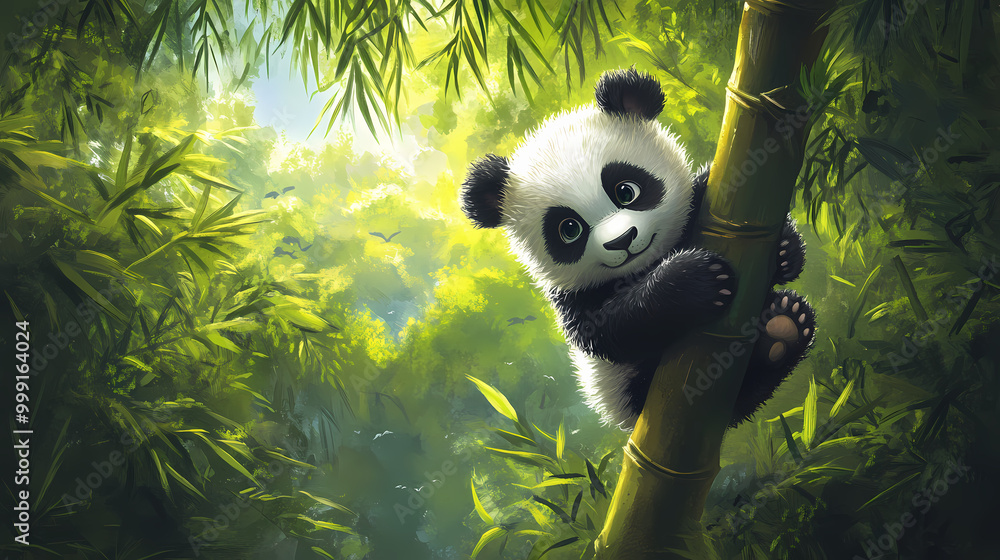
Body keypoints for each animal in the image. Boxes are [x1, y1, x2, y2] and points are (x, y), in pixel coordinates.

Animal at [460, 68, 815, 431]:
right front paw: (696, 280)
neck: (645, 265)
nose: (622, 240)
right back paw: (779, 333)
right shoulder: (574, 300)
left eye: (626, 191)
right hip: (626, 390)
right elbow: (613, 329)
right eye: (569, 230)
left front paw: (785, 250)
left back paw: (783, 326)